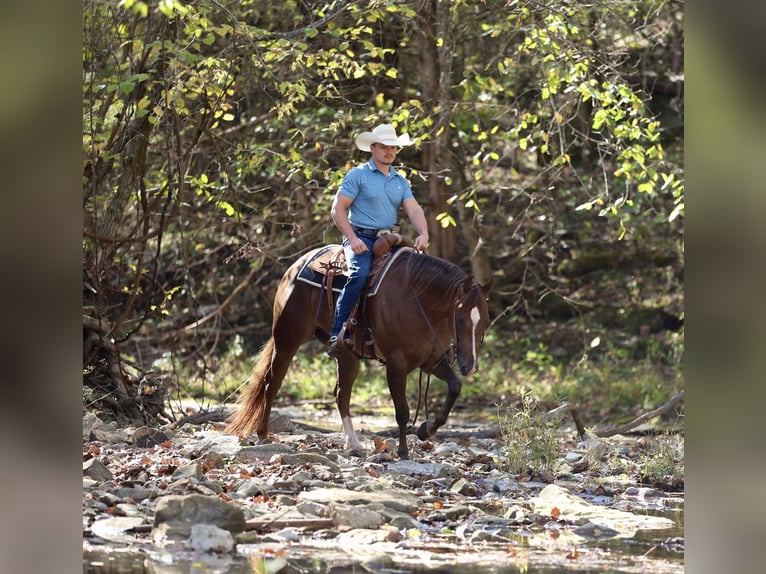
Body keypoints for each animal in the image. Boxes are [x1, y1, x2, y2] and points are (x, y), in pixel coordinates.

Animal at [225, 243, 492, 459]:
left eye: (485, 321)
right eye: (460, 320)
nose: (470, 366)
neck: (418, 301)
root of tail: (297, 265)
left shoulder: (431, 361)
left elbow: (455, 387)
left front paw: (427, 430)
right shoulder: (396, 364)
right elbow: (402, 411)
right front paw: (403, 451)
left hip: (347, 355)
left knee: (341, 394)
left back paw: (352, 443)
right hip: (287, 340)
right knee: (272, 383)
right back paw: (263, 433)